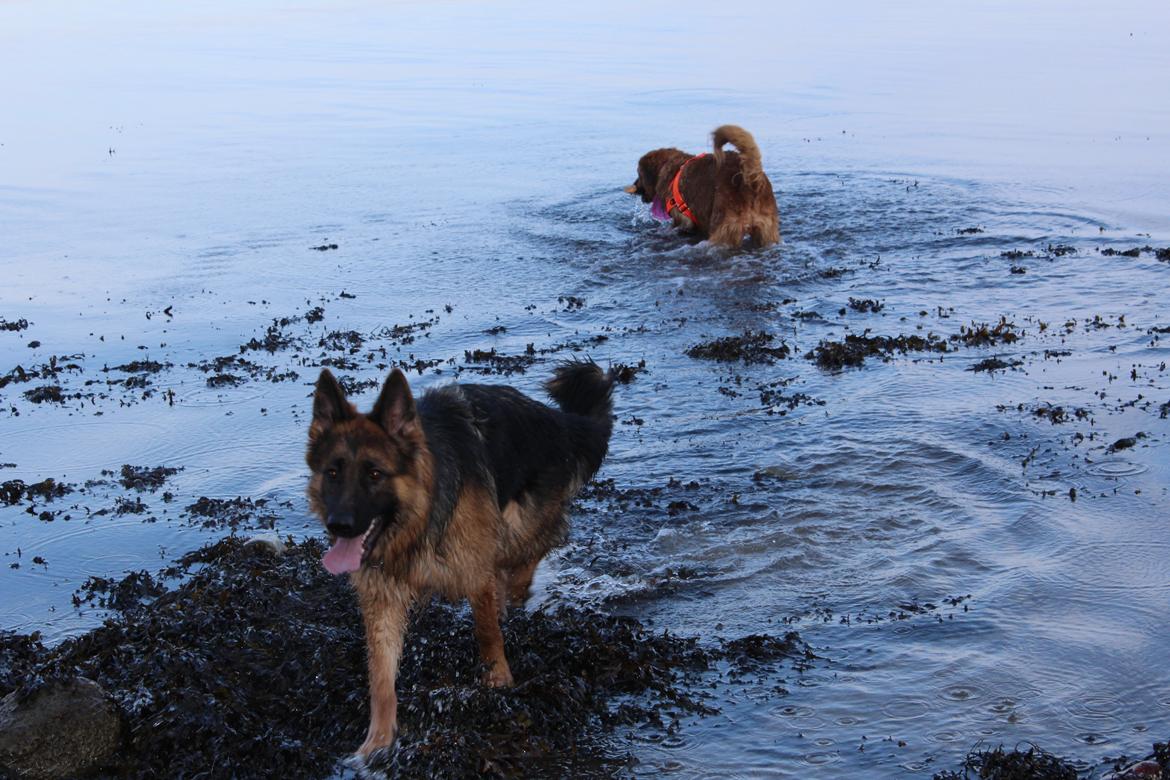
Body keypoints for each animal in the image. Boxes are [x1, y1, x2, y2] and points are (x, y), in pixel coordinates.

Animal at [306, 362, 617, 757]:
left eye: (375, 474)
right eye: (332, 473)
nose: (339, 525)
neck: (417, 520)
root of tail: (558, 421)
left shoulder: (473, 568)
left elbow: (486, 632)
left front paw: (498, 679)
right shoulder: (382, 597)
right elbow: (380, 675)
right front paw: (378, 742)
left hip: (515, 527)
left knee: (534, 553)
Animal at [622, 124, 776, 246]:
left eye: (639, 174)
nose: (635, 186)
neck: (673, 170)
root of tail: (750, 181)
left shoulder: (684, 221)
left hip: (724, 229)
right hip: (767, 230)